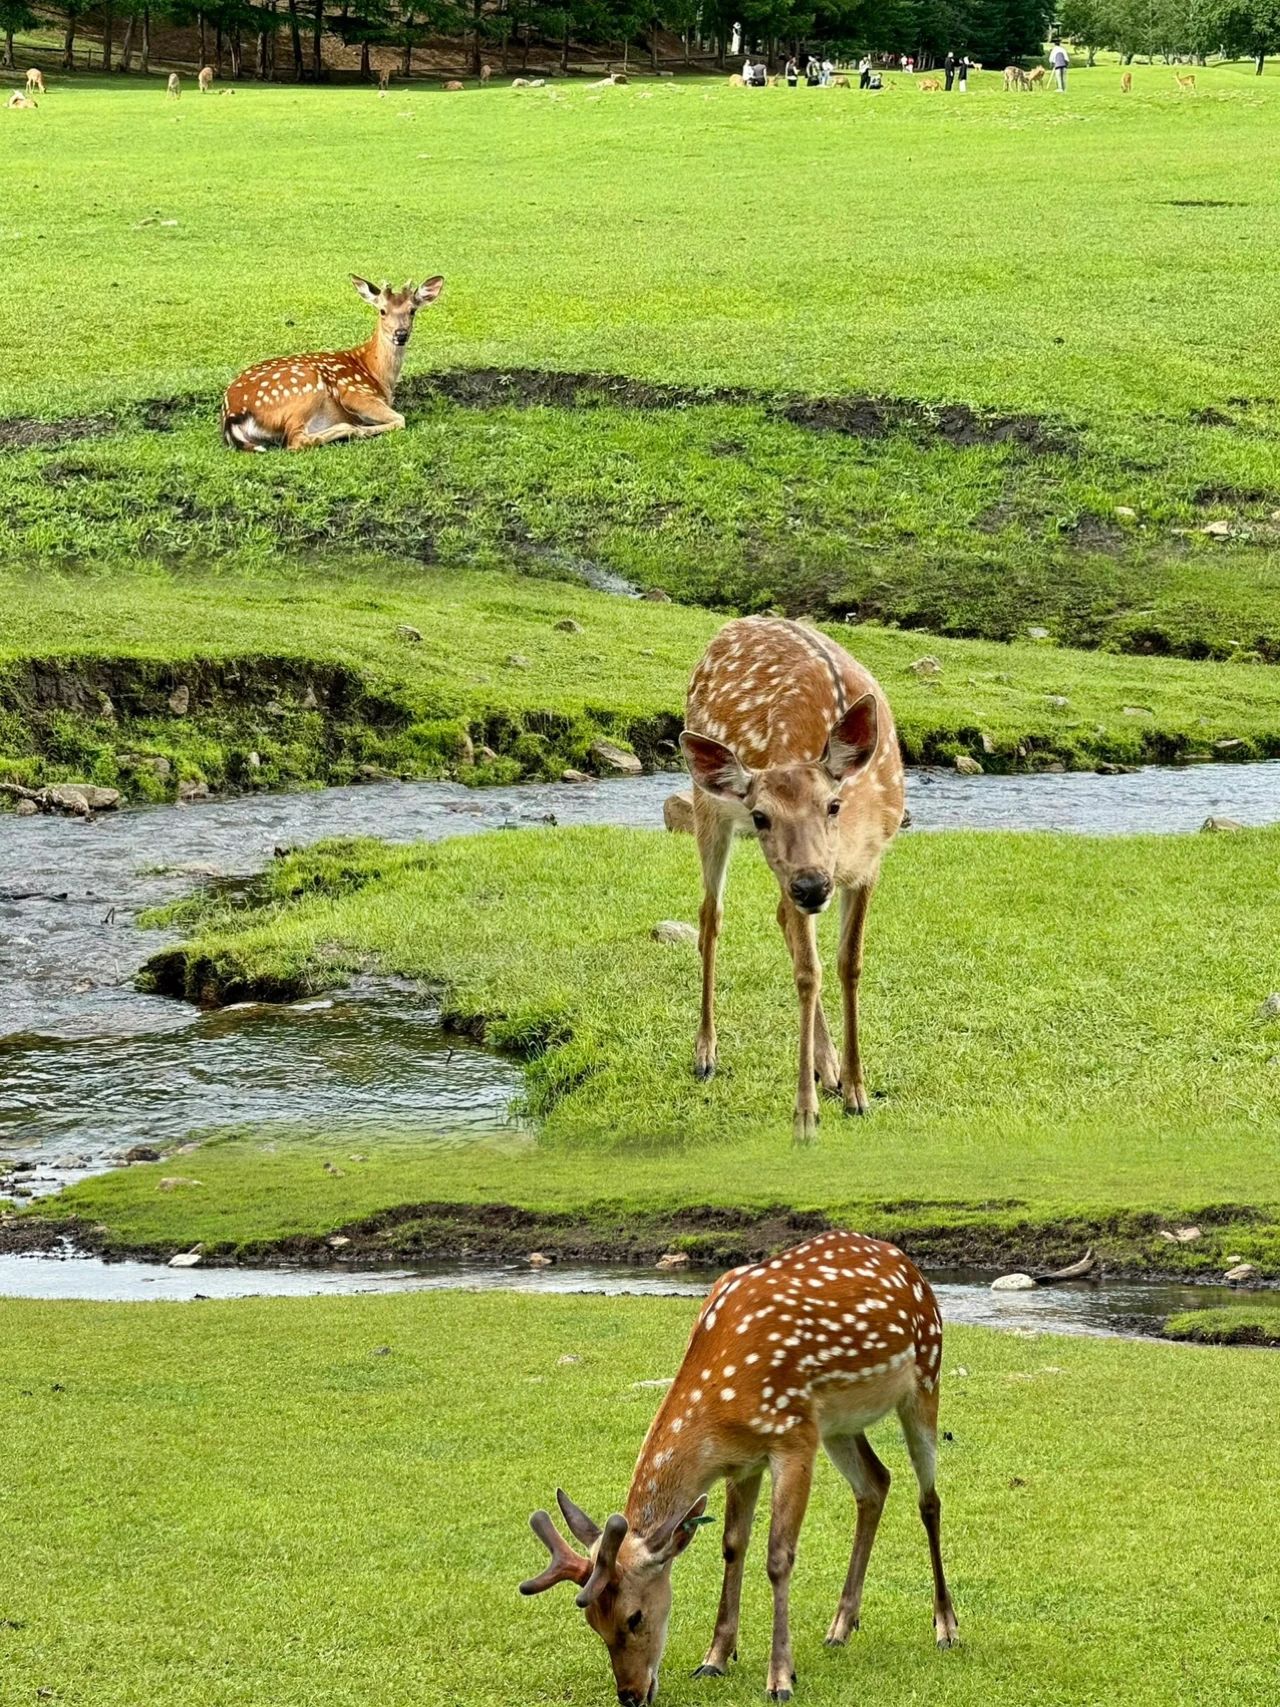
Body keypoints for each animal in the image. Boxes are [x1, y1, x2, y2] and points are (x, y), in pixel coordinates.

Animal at [218, 273, 443, 450]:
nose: (401, 334)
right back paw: (353, 429)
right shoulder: (354, 391)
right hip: (304, 390)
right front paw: (363, 427)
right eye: (382, 310)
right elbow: (401, 419)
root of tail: (232, 414)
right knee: (296, 441)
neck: (376, 372)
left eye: (412, 310)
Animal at [518, 1235, 955, 1700]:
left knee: (928, 1499)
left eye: (634, 1617)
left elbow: (778, 1556)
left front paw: (780, 1677)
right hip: (840, 1424)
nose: (631, 1695)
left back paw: (946, 1627)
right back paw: (840, 1626)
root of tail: (908, 1264)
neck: (723, 1401)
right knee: (875, 1482)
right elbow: (732, 1546)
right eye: (592, 1623)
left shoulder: (793, 1436)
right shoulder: (743, 1461)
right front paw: (715, 1658)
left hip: (925, 1377)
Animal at [686, 621, 907, 1140]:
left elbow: (849, 964)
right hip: (708, 809)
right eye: (761, 816)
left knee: (778, 917)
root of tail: (731, 625)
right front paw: (806, 1115)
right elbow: (809, 972)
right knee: (711, 916)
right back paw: (706, 1051)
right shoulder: (790, 873)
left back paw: (829, 1068)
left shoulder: (871, 865)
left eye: (832, 805)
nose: (812, 885)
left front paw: (856, 1091)